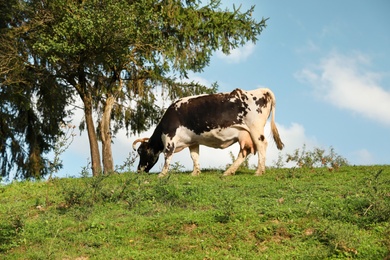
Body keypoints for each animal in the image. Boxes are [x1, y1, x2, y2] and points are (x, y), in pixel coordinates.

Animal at [132, 88, 284, 178]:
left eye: (141, 151)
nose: (139, 170)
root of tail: (261, 90)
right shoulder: (192, 141)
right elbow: (194, 157)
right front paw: (195, 173)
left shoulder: (170, 138)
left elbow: (167, 156)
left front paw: (162, 174)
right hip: (244, 133)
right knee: (243, 152)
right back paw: (228, 172)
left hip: (255, 129)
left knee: (261, 145)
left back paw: (259, 171)